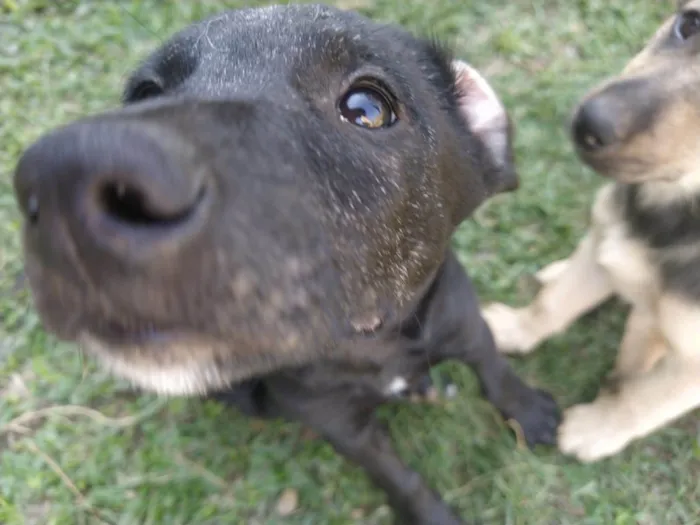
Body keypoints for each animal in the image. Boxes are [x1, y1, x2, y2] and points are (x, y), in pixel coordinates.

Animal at [12, 5, 556, 524]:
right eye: (144, 94)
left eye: (367, 108)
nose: (64, 175)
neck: (378, 350)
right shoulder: (346, 429)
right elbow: (400, 478)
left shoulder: (465, 322)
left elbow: (495, 370)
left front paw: (528, 412)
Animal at [484, 2, 700, 462]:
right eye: (688, 24)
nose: (590, 123)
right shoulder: (607, 241)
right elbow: (553, 305)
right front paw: (515, 328)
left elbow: (641, 398)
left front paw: (595, 428)